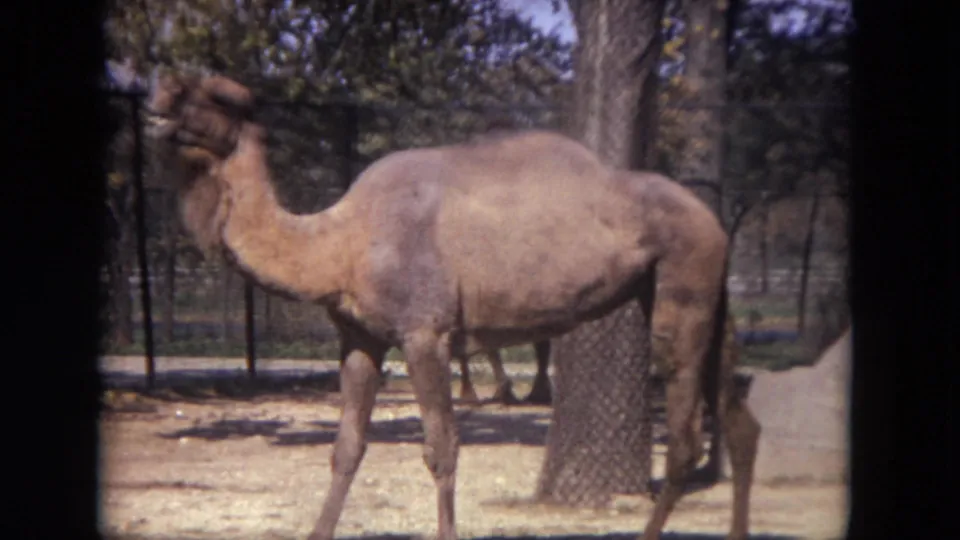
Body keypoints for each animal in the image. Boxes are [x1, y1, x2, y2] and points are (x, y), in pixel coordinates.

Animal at [142, 72, 759, 540]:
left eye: (208, 99)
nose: (154, 105)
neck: (339, 243)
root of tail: (714, 223)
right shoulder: (361, 339)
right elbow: (347, 448)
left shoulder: (425, 332)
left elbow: (441, 449)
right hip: (699, 291)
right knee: (738, 420)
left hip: (685, 277)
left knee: (685, 438)